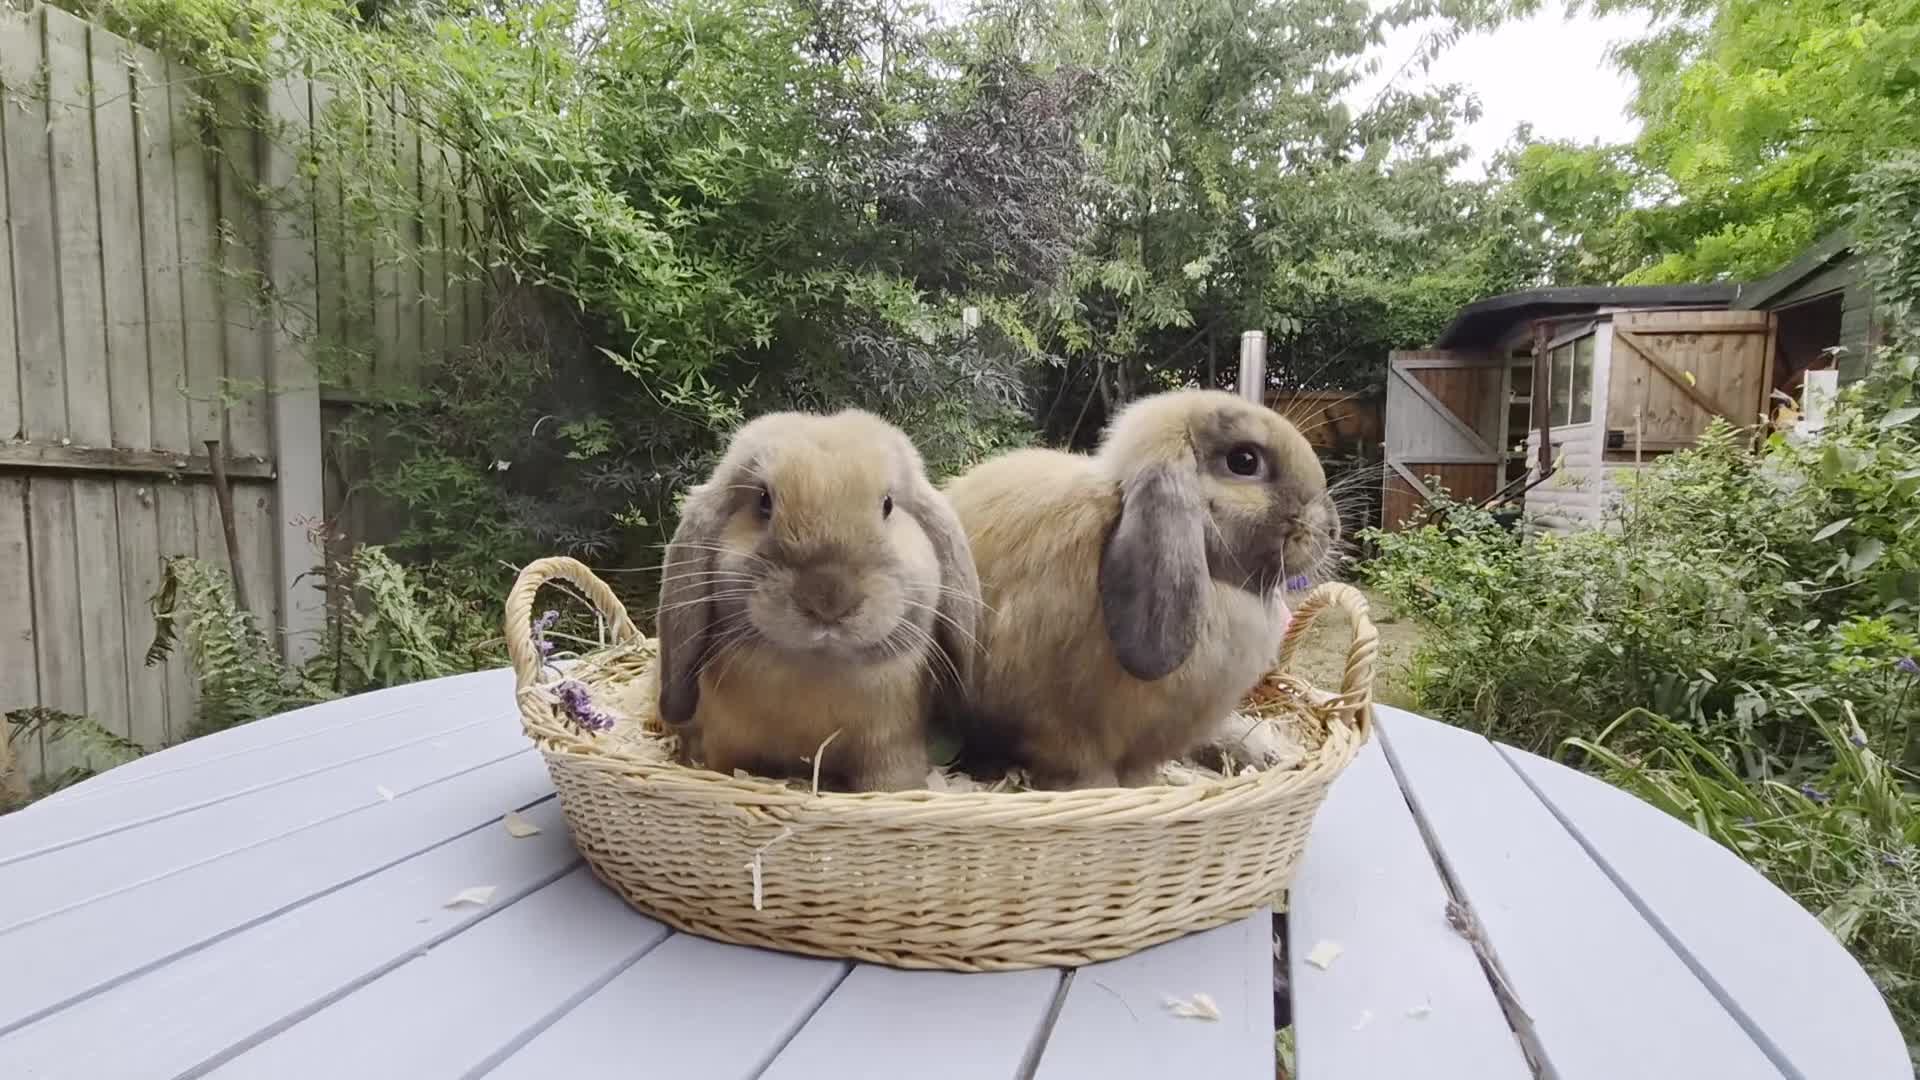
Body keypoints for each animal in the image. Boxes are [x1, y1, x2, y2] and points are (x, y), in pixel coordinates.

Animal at [653, 408, 983, 793]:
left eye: (888, 504)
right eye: (764, 501)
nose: (828, 599)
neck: (818, 666)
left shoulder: (891, 748)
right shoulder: (725, 745)